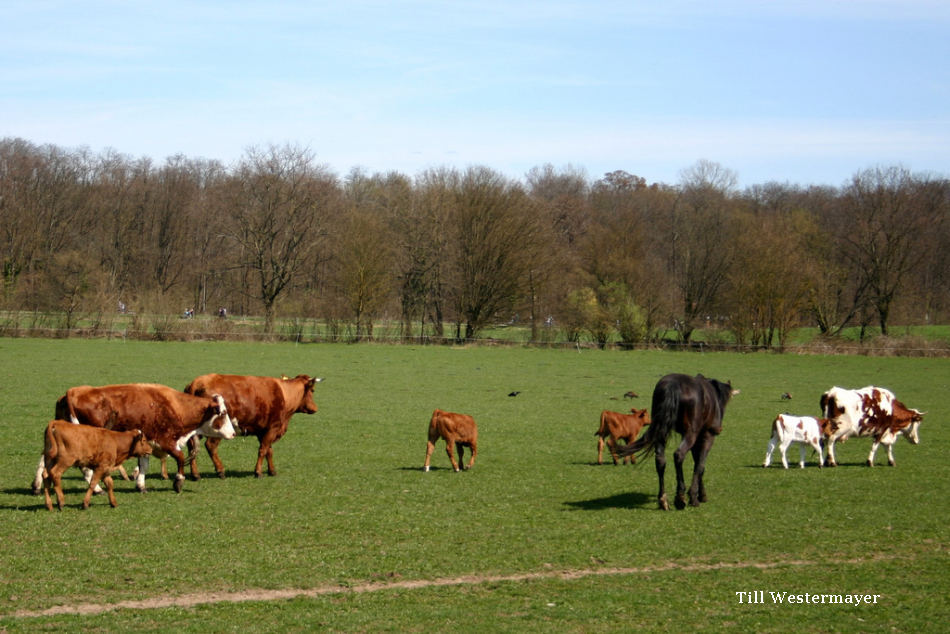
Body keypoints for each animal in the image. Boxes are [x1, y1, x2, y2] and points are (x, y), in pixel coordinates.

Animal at [34, 380, 236, 494]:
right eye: (223, 413)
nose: (233, 433)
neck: (176, 406)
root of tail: (75, 391)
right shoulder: (167, 440)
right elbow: (179, 457)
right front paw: (178, 482)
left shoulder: (147, 442)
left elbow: (144, 465)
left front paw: (141, 486)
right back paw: (97, 489)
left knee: (45, 457)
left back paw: (36, 486)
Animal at [182, 372, 324, 476]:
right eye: (313, 391)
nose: (315, 408)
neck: (285, 394)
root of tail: (198, 382)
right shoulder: (273, 428)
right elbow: (263, 450)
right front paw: (258, 472)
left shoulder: (263, 431)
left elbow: (269, 451)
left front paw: (272, 471)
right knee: (210, 446)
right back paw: (220, 471)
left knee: (192, 445)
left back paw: (195, 475)